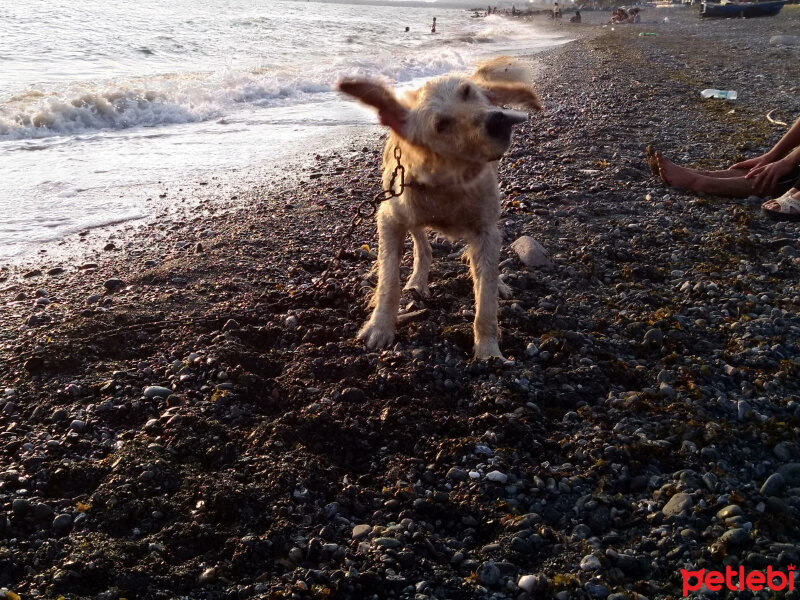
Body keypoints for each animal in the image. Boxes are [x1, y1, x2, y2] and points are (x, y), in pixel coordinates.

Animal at [340, 57, 540, 356]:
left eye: (468, 92)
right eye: (442, 124)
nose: (497, 120)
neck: (450, 180)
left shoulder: (485, 230)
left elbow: (486, 297)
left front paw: (488, 350)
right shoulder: (390, 218)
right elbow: (389, 281)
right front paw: (380, 327)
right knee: (423, 247)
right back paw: (417, 281)